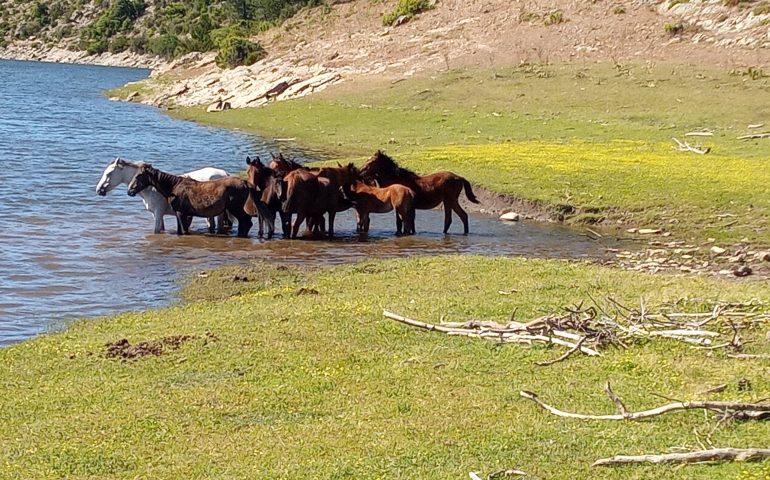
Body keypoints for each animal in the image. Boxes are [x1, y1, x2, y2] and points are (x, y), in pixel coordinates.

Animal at [95, 158, 231, 232]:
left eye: (109, 173)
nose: (98, 190)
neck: (152, 188)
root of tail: (225, 174)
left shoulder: (159, 212)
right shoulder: (156, 215)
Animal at [127, 164, 256, 237]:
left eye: (138, 176)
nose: (129, 191)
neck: (174, 186)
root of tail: (245, 183)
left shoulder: (181, 213)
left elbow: (184, 230)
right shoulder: (180, 213)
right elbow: (180, 231)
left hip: (236, 209)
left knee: (246, 223)